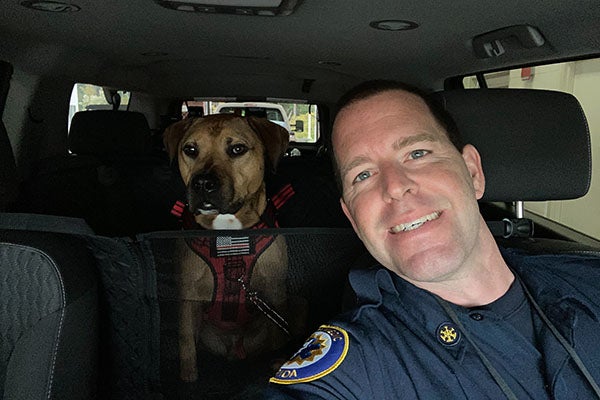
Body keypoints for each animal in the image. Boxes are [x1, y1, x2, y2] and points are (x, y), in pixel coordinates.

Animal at [164, 113, 296, 382]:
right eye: (190, 150)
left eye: (237, 149)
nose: (203, 182)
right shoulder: (187, 298)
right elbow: (186, 346)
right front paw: (188, 379)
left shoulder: (276, 293)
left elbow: (279, 334)